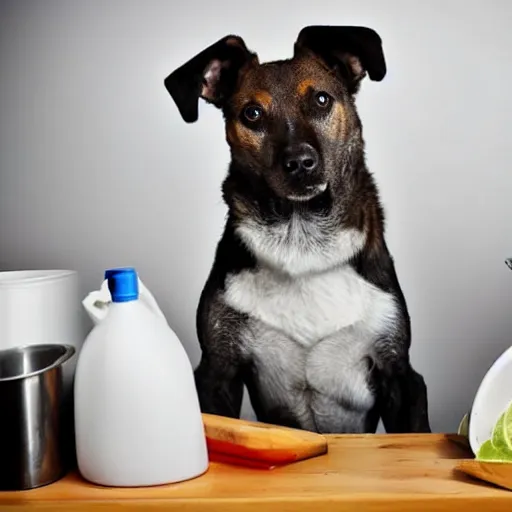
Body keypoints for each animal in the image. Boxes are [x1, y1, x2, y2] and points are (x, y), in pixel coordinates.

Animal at [165, 24, 432, 432]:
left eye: (322, 100)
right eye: (252, 114)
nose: (300, 162)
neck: (302, 237)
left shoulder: (400, 374)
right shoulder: (218, 370)